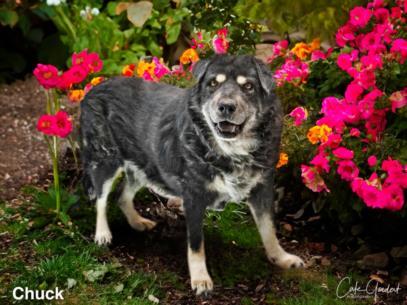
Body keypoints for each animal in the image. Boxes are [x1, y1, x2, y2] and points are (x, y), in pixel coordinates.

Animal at [79, 54, 304, 294]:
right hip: (105, 159)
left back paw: (137, 222)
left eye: (249, 86)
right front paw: (200, 279)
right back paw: (102, 234)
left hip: (145, 166)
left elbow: (269, 229)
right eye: (213, 83)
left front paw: (281, 258)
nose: (226, 107)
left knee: (122, 195)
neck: (229, 150)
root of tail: (94, 88)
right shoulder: (193, 196)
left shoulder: (262, 188)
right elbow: (196, 244)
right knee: (101, 198)